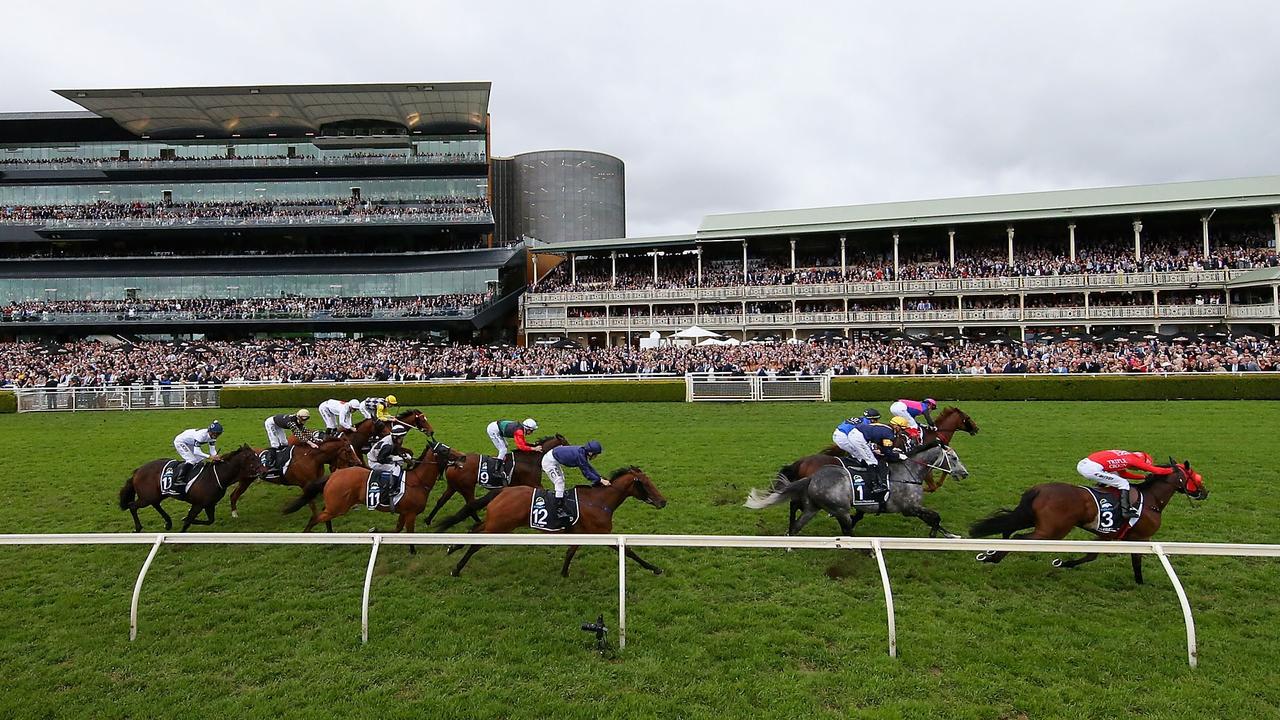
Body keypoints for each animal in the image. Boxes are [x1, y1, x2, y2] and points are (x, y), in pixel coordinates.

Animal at [742, 440, 967, 535]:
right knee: (845, 527)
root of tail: (812, 475)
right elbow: (935, 517)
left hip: (814, 506)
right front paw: (937, 535)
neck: (907, 473)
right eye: (954, 458)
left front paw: (950, 535)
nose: (965, 473)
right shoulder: (908, 508)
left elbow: (934, 519)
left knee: (799, 517)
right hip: (837, 507)